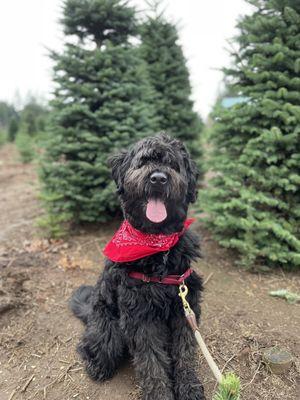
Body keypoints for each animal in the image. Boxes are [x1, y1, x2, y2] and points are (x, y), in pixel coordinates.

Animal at [70, 134, 205, 400]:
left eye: (173, 165)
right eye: (143, 161)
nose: (158, 178)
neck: (157, 246)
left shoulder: (184, 305)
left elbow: (184, 352)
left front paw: (189, 387)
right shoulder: (140, 316)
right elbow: (151, 363)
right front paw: (160, 395)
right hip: (108, 330)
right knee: (91, 345)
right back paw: (96, 366)